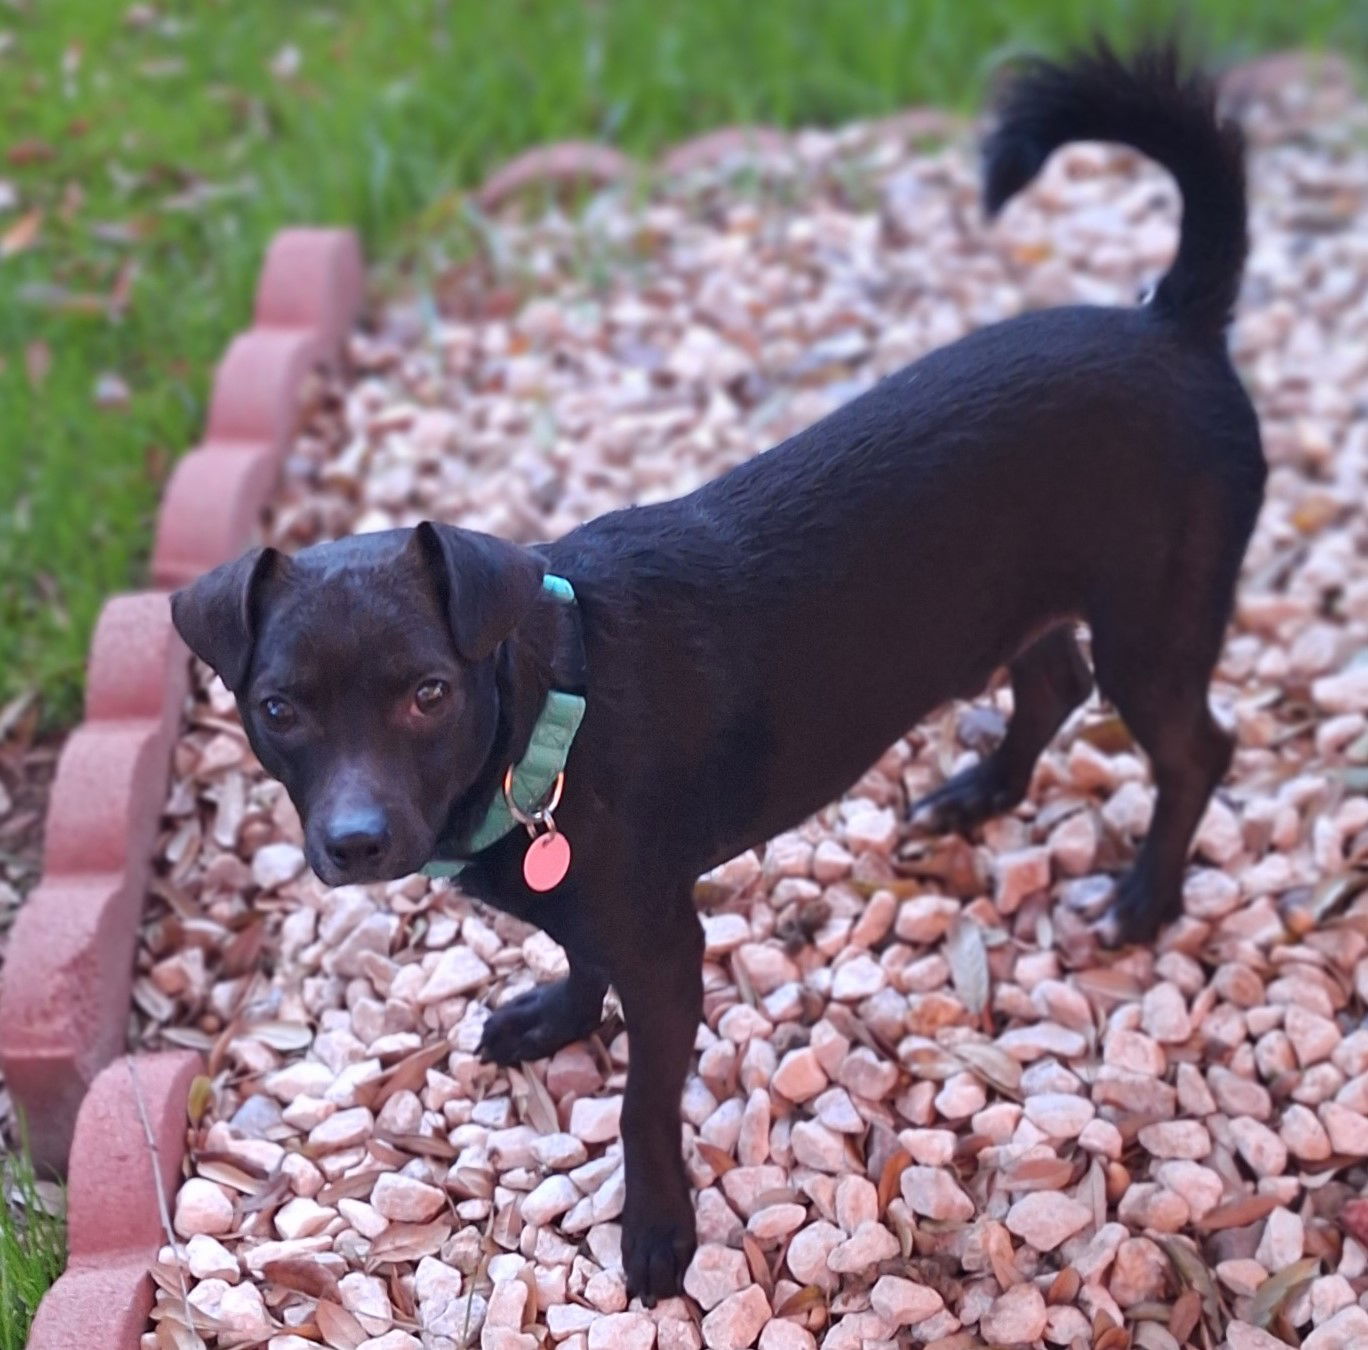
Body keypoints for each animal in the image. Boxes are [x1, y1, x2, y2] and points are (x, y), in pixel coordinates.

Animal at [176, 47, 1264, 1302]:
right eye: (280, 709)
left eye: (428, 694)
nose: (354, 843)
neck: (554, 715)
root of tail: (1175, 320)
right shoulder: (597, 914)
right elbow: (574, 955)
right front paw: (553, 1019)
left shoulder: (665, 948)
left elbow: (645, 1102)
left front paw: (656, 1231)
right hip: (1011, 603)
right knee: (1052, 684)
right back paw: (982, 792)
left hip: (1157, 626)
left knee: (1195, 747)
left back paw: (1146, 896)